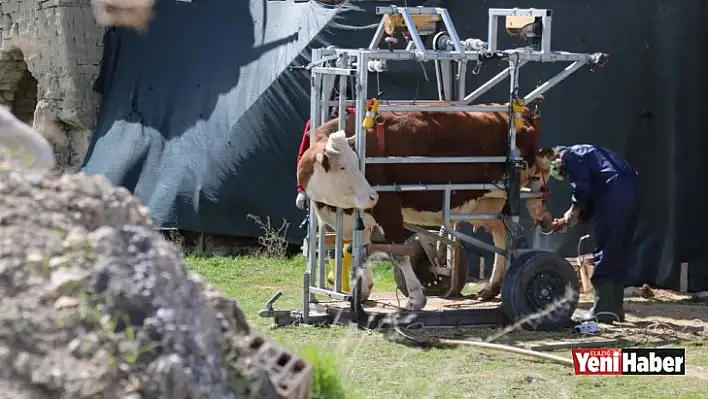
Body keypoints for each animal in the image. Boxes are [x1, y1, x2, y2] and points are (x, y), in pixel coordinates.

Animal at [296, 104, 556, 310]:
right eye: (343, 167)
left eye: (358, 163)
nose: (372, 196)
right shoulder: (358, 216)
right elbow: (358, 250)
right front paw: (362, 291)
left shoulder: (388, 207)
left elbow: (398, 253)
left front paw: (416, 298)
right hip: (489, 203)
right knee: (501, 236)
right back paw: (491, 288)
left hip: (520, 182)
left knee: (534, 193)